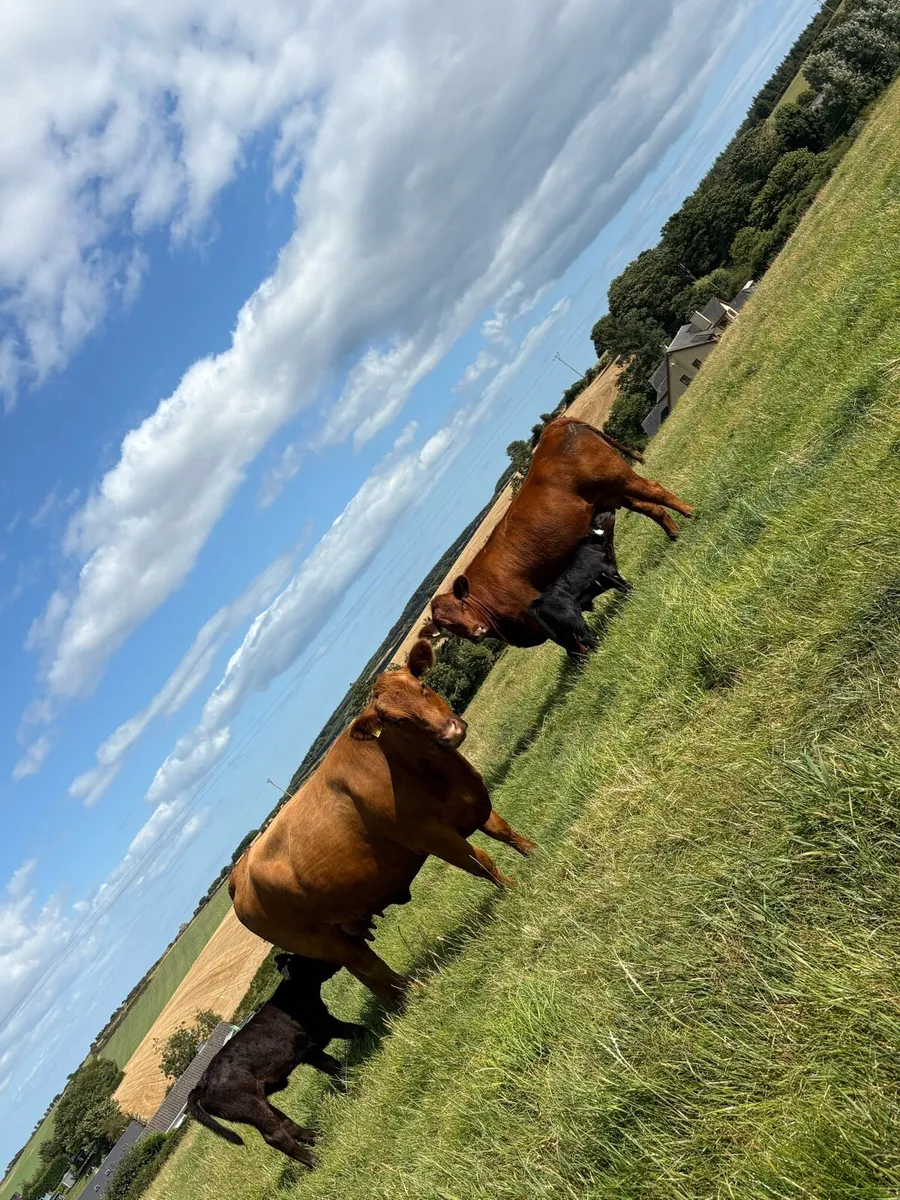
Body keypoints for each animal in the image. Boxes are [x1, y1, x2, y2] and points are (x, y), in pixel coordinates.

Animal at [187, 954, 364, 1167]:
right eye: (306, 960)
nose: (332, 961)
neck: (294, 997)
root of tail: (202, 1084)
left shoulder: (326, 1029)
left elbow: (354, 1034)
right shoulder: (313, 1044)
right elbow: (337, 1061)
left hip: (259, 1103)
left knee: (286, 1123)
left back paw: (318, 1139)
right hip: (250, 1105)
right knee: (275, 1136)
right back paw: (315, 1161)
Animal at [229, 639, 535, 1007]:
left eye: (422, 686)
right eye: (396, 722)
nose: (450, 732)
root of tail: (239, 875)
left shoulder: (473, 800)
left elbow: (505, 832)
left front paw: (535, 855)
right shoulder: (430, 835)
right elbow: (480, 861)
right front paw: (514, 889)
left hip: (342, 926)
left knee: (368, 972)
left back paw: (399, 1002)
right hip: (318, 940)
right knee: (367, 967)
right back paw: (414, 993)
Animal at [528, 509, 630, 659]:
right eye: (599, 517)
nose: (609, 510)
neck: (594, 547)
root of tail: (538, 601)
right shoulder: (610, 573)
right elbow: (624, 585)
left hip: (562, 631)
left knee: (573, 647)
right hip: (573, 618)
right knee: (584, 637)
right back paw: (600, 649)